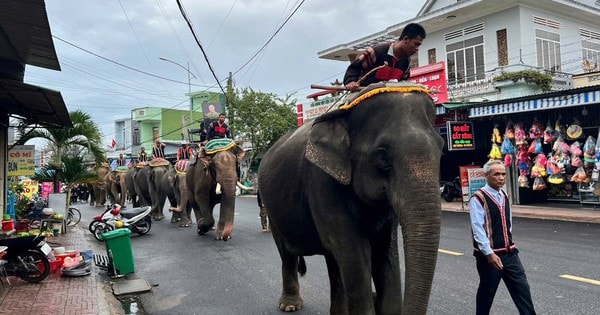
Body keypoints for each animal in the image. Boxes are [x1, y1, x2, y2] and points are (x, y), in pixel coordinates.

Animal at [258, 82, 446, 314]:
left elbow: (385, 252)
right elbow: (355, 252)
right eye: (383, 155)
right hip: (273, 209)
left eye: (441, 149)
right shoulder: (322, 183)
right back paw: (290, 305)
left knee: (333, 259)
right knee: (288, 254)